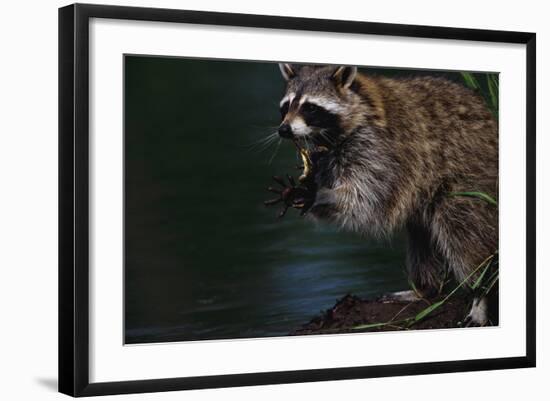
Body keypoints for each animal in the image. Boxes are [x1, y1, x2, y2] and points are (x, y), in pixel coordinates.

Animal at [276, 62, 500, 324]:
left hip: (470, 178)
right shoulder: (329, 154)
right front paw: (307, 188)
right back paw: (426, 288)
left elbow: (369, 198)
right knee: (420, 235)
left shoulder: (383, 149)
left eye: (310, 107)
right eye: (286, 106)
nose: (284, 130)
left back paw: (480, 293)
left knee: (461, 230)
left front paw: (322, 194)